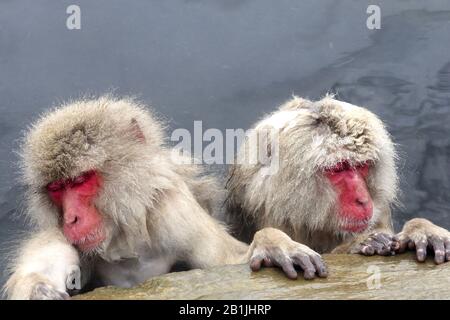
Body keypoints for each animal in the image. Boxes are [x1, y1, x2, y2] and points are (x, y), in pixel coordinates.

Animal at [3, 95, 326, 300]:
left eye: (80, 180)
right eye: (57, 188)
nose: (71, 218)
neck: (126, 238)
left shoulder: (173, 211)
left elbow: (227, 260)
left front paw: (271, 243)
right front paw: (34, 286)